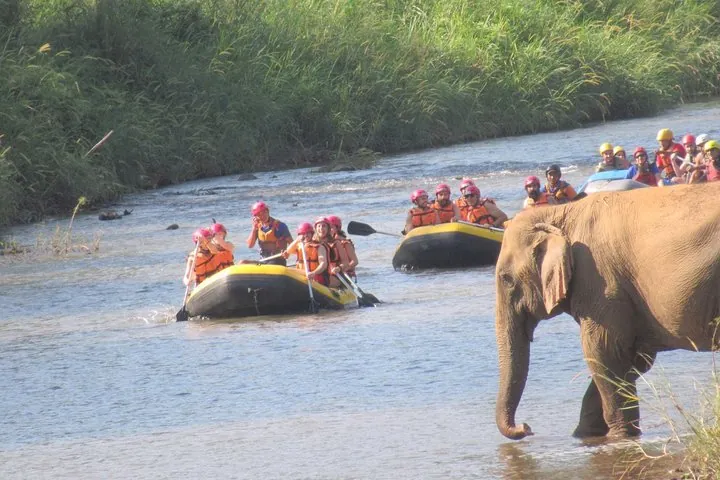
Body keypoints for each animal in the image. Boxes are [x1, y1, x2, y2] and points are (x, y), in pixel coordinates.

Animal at [494, 182, 720, 440]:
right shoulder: (628, 297)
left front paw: (618, 437)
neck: (558, 213)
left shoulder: (602, 282)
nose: (526, 427)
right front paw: (585, 435)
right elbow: (632, 358)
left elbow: (602, 352)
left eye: (506, 279)